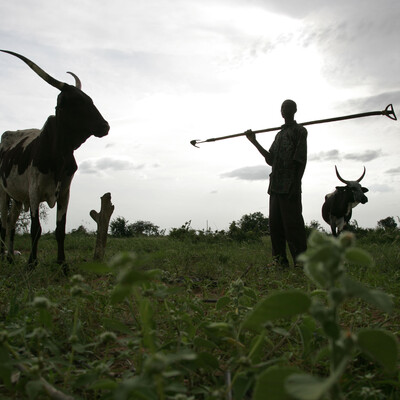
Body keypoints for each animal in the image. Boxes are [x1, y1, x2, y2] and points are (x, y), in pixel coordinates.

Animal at [0, 50, 109, 268]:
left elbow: (60, 230)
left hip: (17, 197)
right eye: (77, 102)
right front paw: (31, 264)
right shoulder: (34, 191)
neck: (59, 154)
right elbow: (35, 229)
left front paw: (62, 264)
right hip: (2, 192)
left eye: (90, 100)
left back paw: (10, 257)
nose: (105, 126)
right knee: (3, 224)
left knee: (12, 223)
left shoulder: (65, 191)